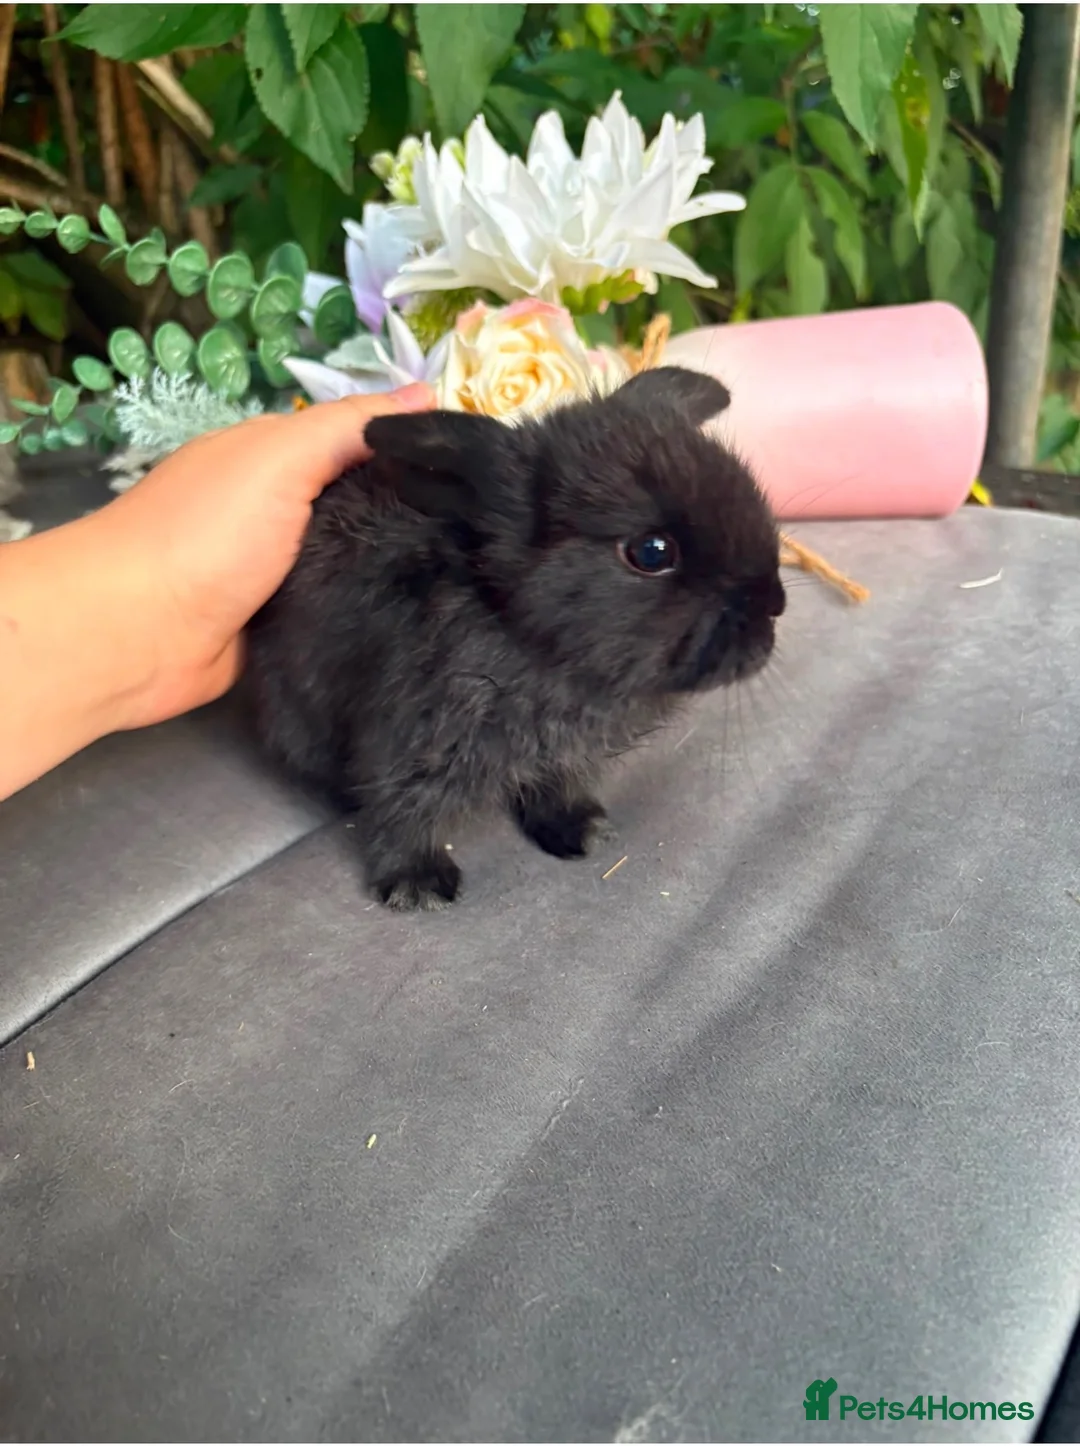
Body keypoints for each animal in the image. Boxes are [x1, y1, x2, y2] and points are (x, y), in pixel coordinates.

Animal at [244, 366, 786, 911]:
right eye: (652, 552)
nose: (774, 605)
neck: (529, 640)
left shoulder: (563, 758)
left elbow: (557, 790)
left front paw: (582, 832)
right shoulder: (408, 744)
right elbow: (401, 813)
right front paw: (418, 885)